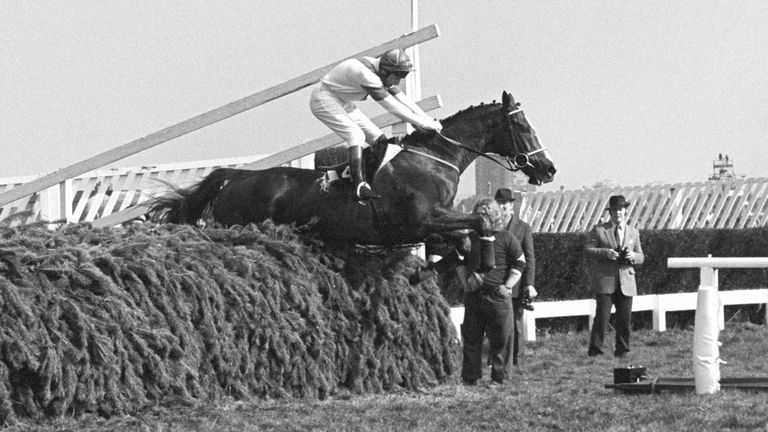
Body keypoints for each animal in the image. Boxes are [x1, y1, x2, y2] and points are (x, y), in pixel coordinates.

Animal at [150, 90, 556, 246]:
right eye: (524, 128)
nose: (547, 168)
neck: (432, 160)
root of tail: (235, 176)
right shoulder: (419, 221)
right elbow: (476, 222)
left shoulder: (431, 224)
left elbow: (462, 233)